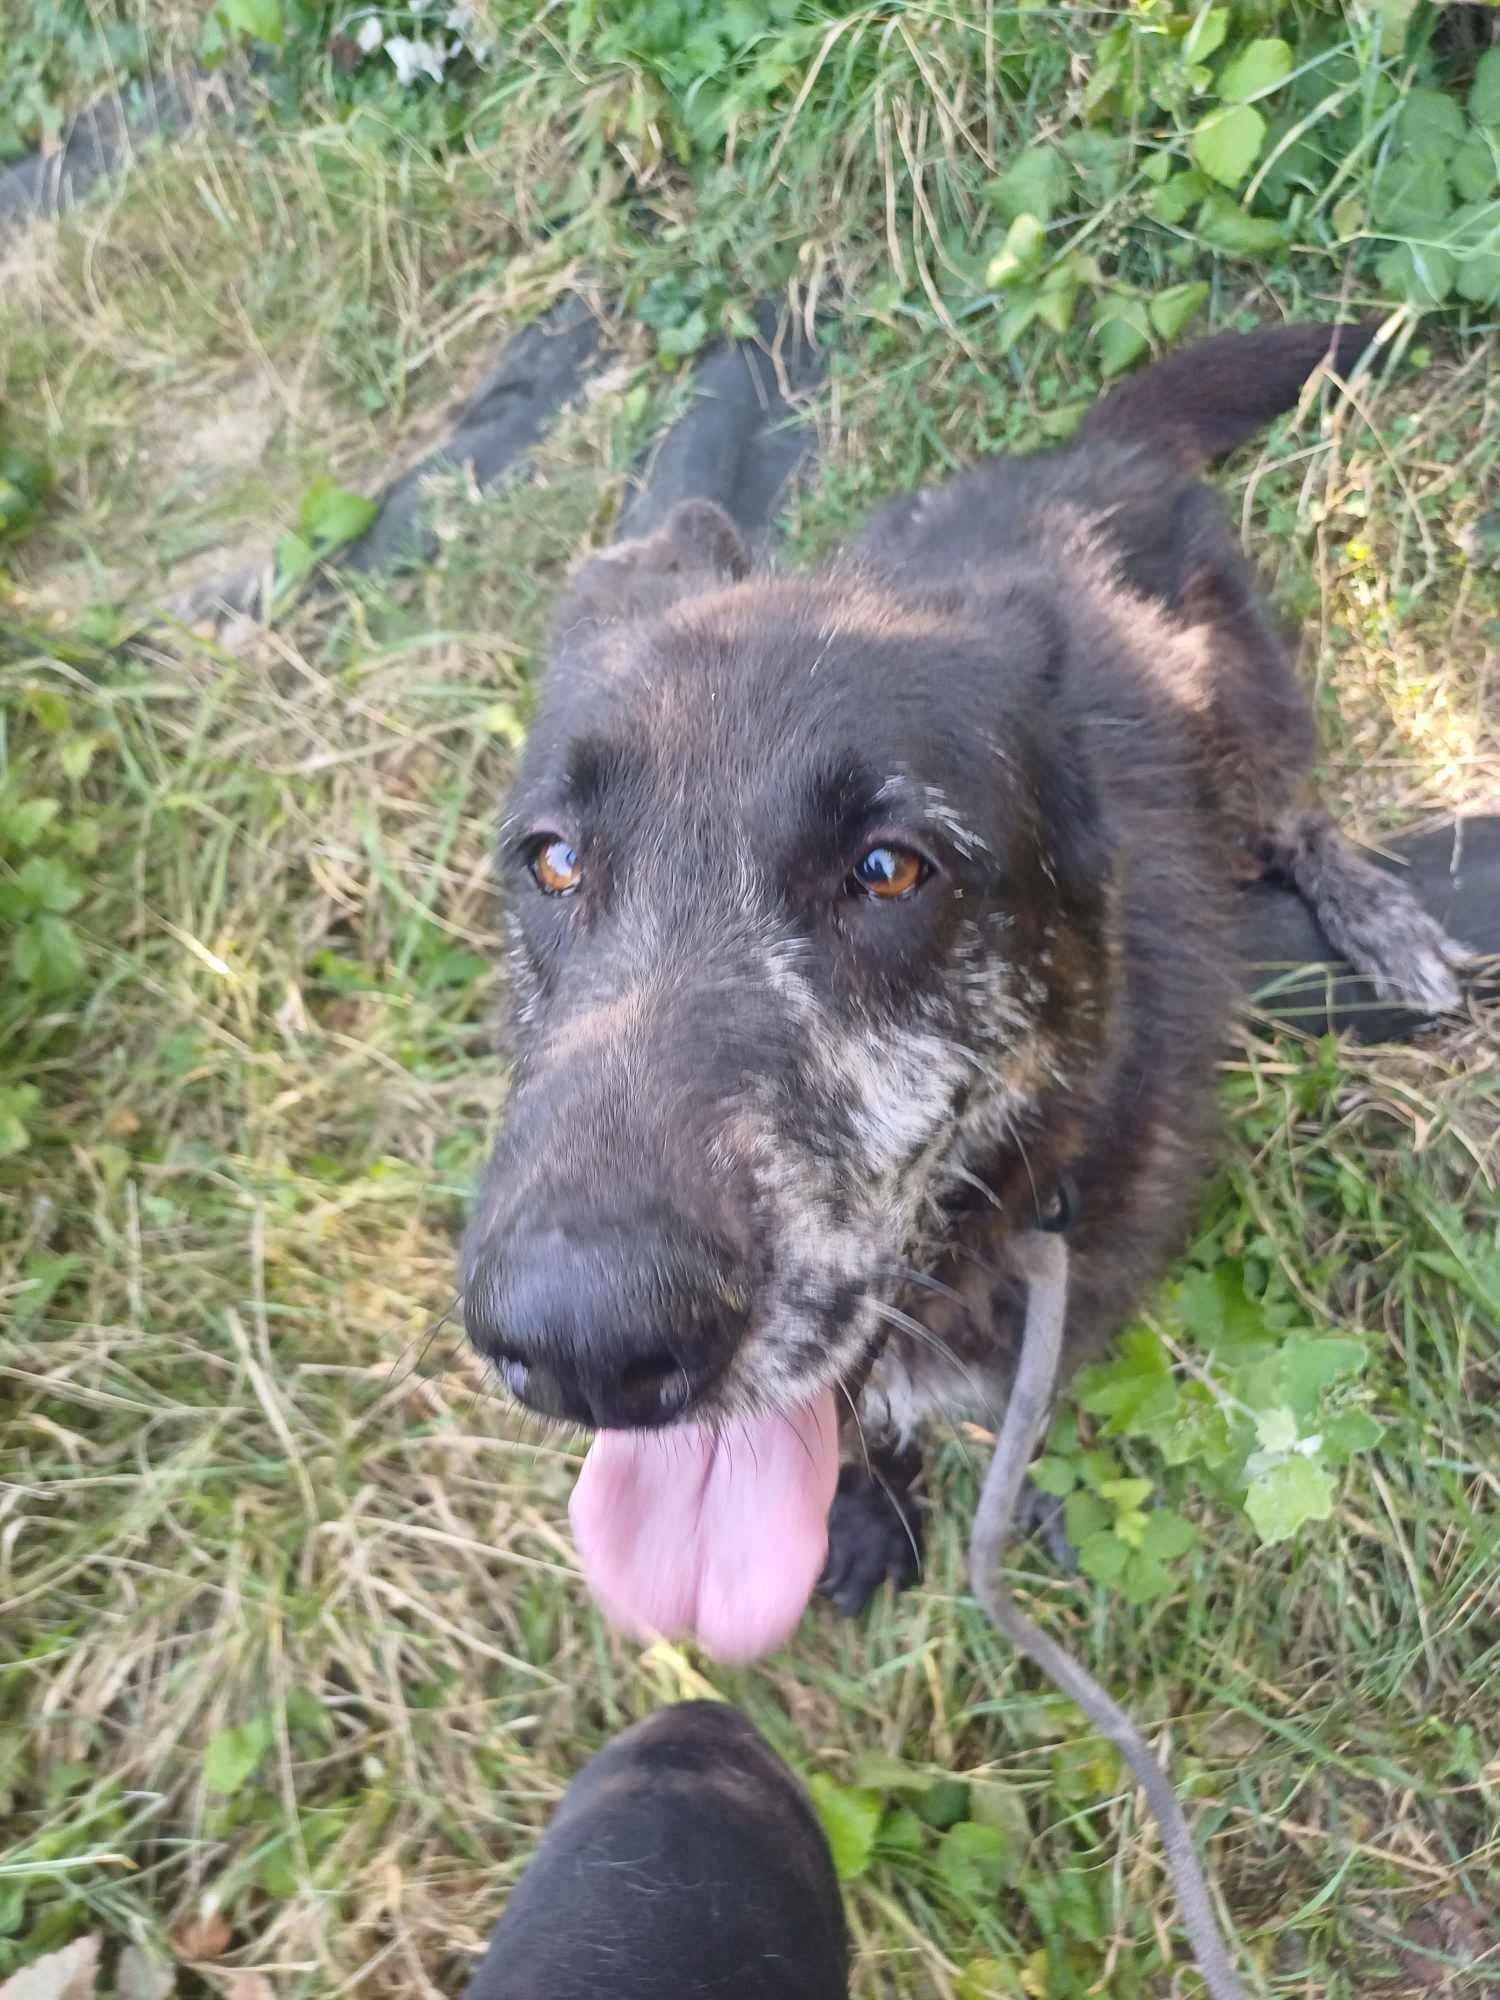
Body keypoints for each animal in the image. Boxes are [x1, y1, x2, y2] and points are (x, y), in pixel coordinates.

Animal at [459, 323, 1464, 1661]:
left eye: (890, 869)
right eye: (554, 860)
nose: (584, 1348)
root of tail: (1091, 457)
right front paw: (871, 1506)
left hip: (1242, 701)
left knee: (1294, 811)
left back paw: (1379, 917)